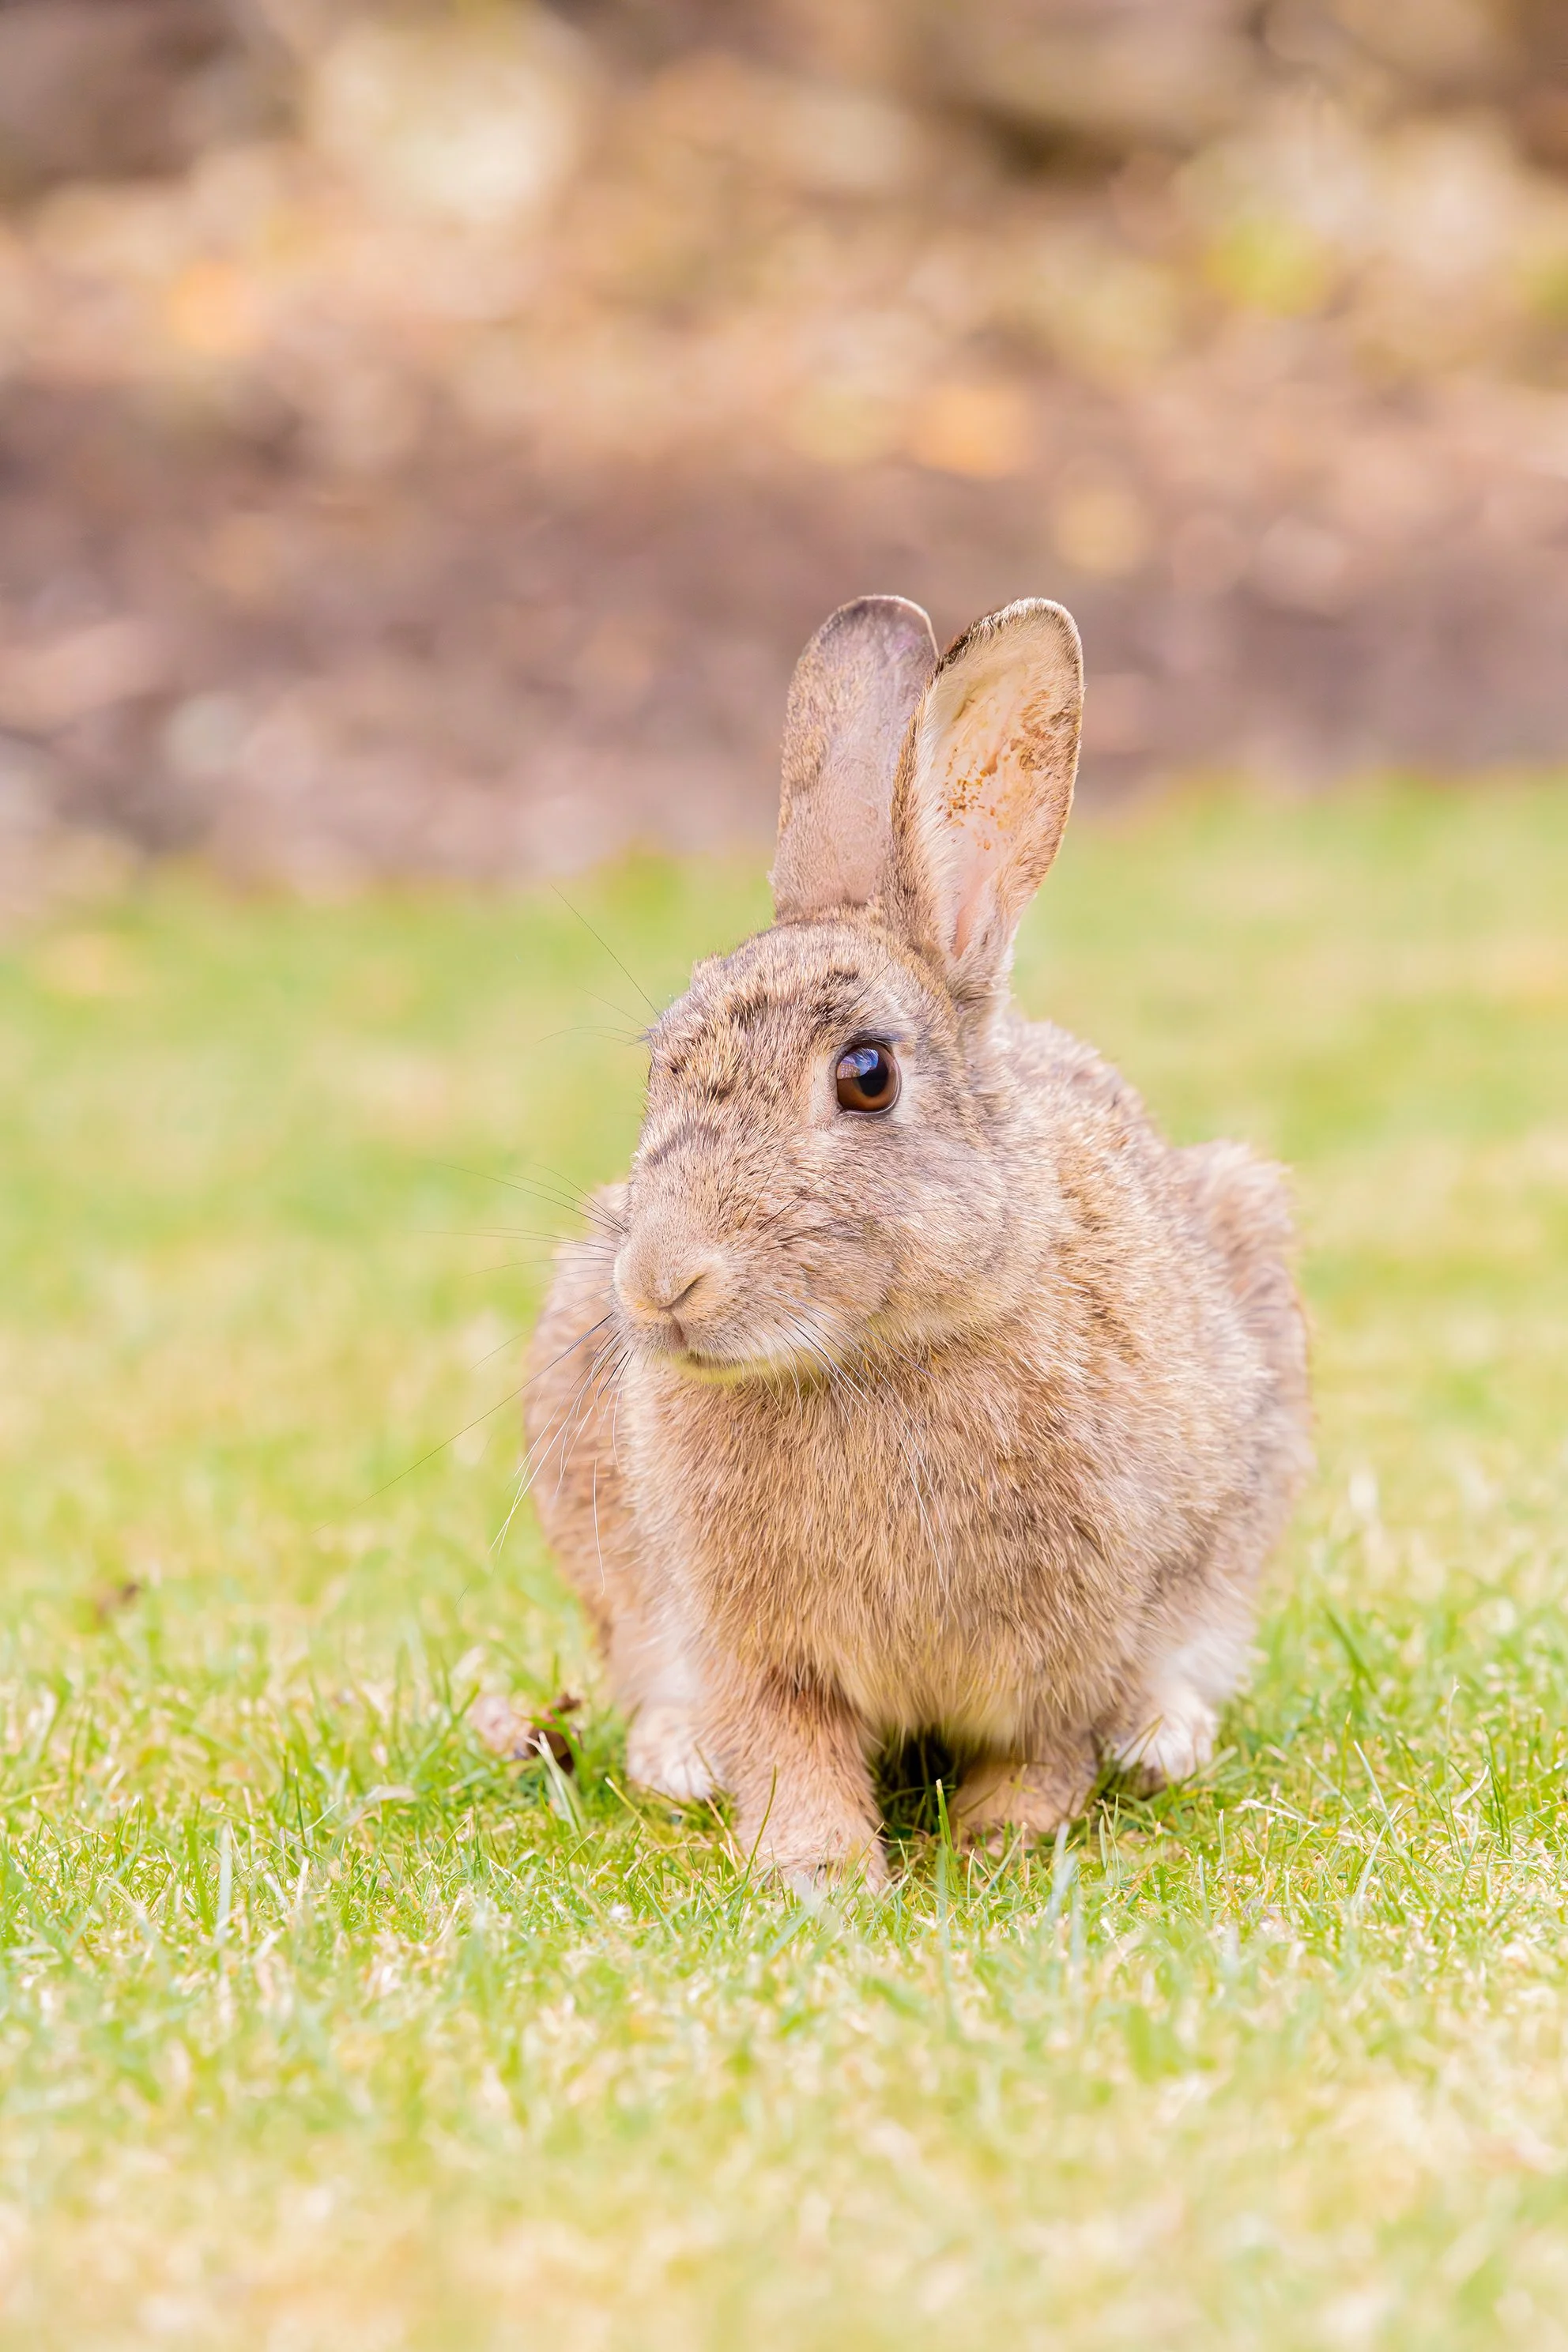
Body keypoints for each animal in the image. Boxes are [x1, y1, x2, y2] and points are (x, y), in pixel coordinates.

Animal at [521, 595, 1311, 1889]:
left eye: (866, 1076)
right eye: (660, 1069)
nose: (661, 1283)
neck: (872, 1355)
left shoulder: (1084, 1629)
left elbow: (1048, 1737)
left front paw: (1001, 1839)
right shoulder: (755, 1646)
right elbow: (787, 1743)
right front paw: (818, 1871)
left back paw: (1163, 1742)